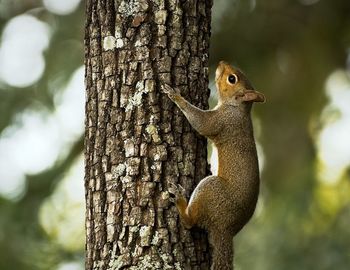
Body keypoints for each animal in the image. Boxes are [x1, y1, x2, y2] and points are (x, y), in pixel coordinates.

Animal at [164, 61, 266, 270]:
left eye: (232, 79)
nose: (221, 63)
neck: (237, 108)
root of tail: (226, 229)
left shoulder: (221, 122)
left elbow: (201, 123)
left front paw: (177, 97)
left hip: (210, 189)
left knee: (190, 222)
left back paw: (179, 201)